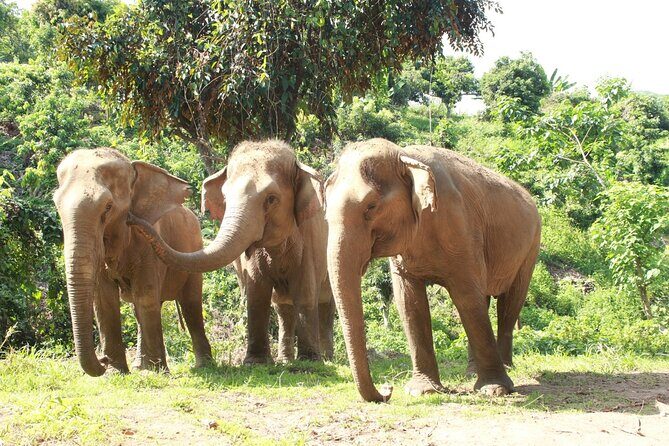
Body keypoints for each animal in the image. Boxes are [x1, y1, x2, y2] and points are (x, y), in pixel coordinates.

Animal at [53, 148, 212, 376]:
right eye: (56, 206)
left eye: (108, 207)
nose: (103, 360)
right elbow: (104, 300)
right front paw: (117, 372)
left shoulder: (148, 243)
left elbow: (145, 295)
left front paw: (155, 373)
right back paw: (139, 366)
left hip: (194, 247)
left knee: (190, 303)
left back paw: (203, 365)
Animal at [127, 140, 335, 364]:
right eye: (225, 198)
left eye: (271, 199)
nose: (129, 217)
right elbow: (257, 293)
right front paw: (255, 363)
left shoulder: (310, 238)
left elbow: (305, 290)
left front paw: (310, 362)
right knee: (282, 306)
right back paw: (285, 360)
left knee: (325, 304)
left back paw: (326, 358)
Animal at [324, 138, 541, 402]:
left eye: (371, 206)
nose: (388, 390)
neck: (404, 156)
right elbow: (409, 302)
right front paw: (422, 390)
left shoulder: (459, 226)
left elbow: (466, 296)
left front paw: (494, 390)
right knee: (484, 298)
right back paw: (471, 372)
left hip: (531, 247)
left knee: (509, 303)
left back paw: (505, 368)